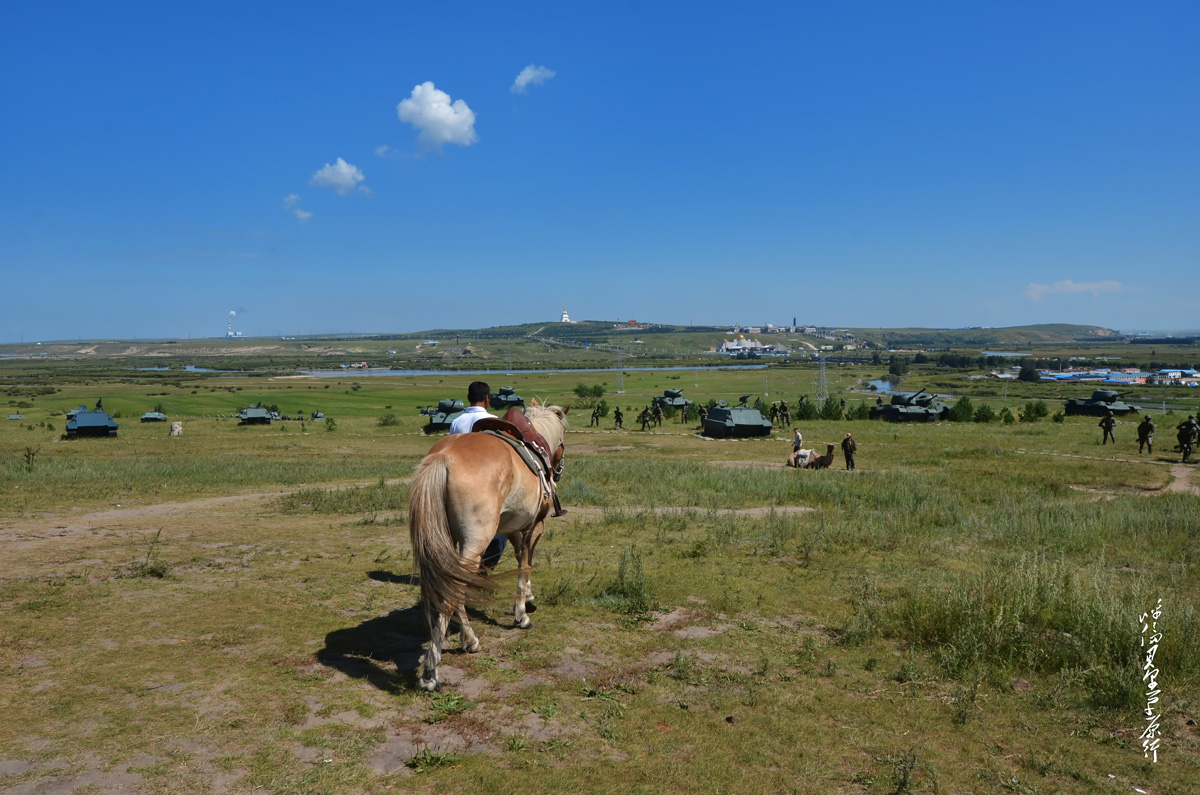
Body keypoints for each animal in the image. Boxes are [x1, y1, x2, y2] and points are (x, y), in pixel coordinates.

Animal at [408, 405, 566, 691]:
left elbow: (520, 557)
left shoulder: (512, 527)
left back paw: (469, 641)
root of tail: (444, 456)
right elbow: (526, 564)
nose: (558, 470)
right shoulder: (536, 524)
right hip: (476, 543)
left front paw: (528, 600)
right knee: (453, 591)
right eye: (563, 439)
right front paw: (522, 615)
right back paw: (430, 670)